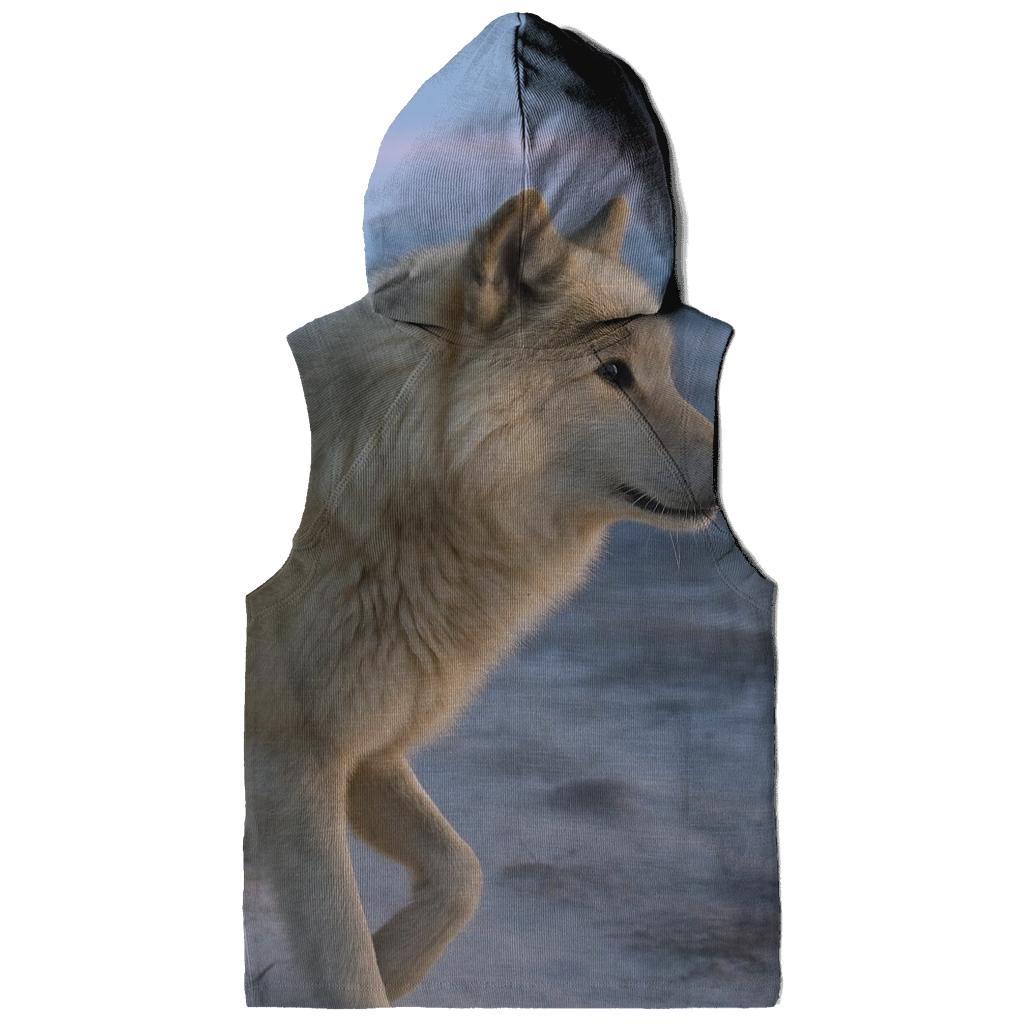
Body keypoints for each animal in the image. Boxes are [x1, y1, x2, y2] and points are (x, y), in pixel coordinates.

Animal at [244, 188, 717, 1007]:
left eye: (661, 369)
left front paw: (352, 975)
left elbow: (461, 876)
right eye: (614, 373)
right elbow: (346, 965)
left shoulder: (367, 750)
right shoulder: (291, 771)